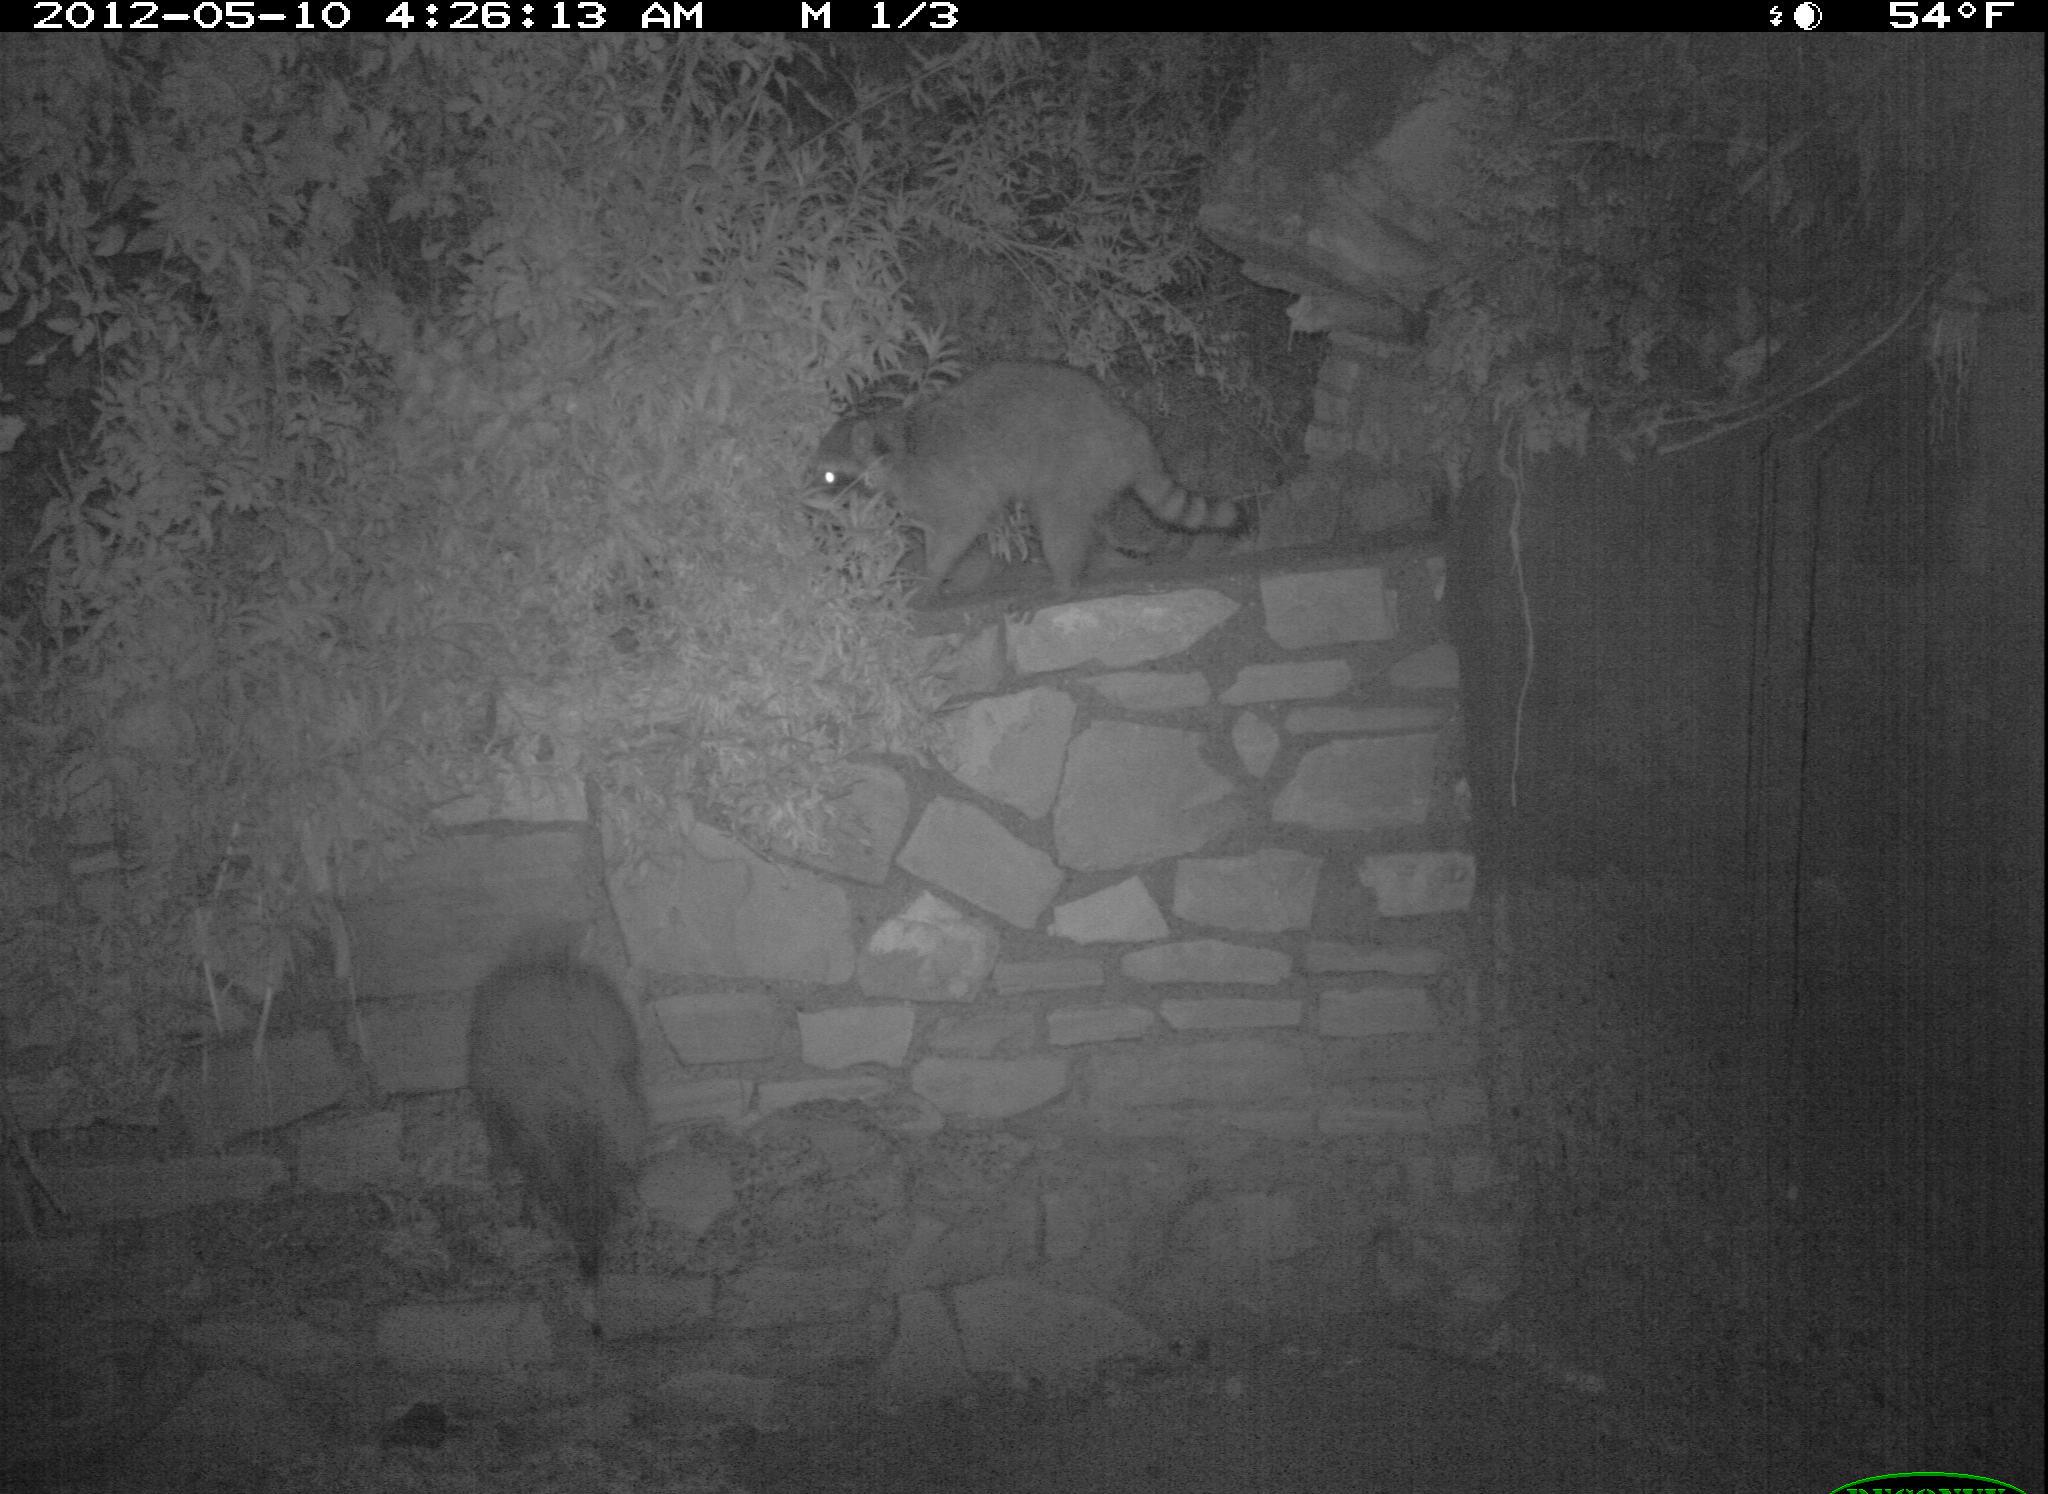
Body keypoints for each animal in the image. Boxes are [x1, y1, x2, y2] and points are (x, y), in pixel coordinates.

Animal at [467, 952, 645, 1329]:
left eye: (609, 1216)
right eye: (562, 1218)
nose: (595, 1327)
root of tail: (538, 962)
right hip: (488, 1100)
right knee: (497, 1149)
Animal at [812, 362, 1247, 595]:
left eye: (831, 477)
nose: (806, 509)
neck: (893, 443)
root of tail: (1135, 433)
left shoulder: (942, 485)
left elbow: (957, 528)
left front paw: (928, 577)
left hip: (1079, 459)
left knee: (1059, 523)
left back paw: (1065, 579)